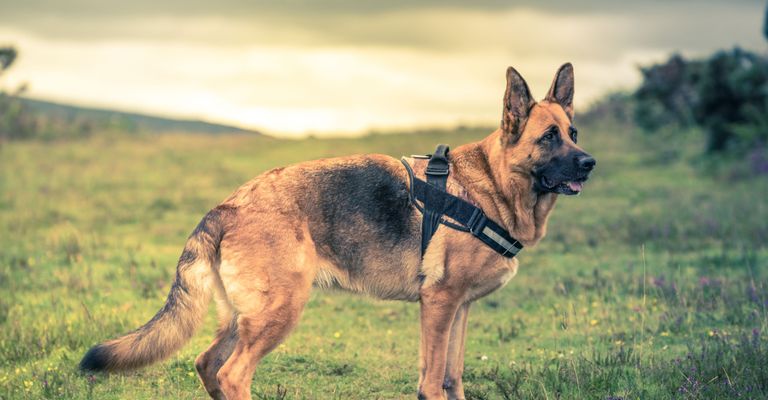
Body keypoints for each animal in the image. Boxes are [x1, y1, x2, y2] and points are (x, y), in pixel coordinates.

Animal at [81, 64, 592, 398]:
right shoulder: (439, 304)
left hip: (243, 317)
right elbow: (432, 382)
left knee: (207, 364)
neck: (491, 185)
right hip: (279, 311)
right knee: (232, 374)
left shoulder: (459, 309)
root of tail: (226, 206)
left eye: (574, 133)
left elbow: (453, 377)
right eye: (548, 137)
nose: (590, 163)